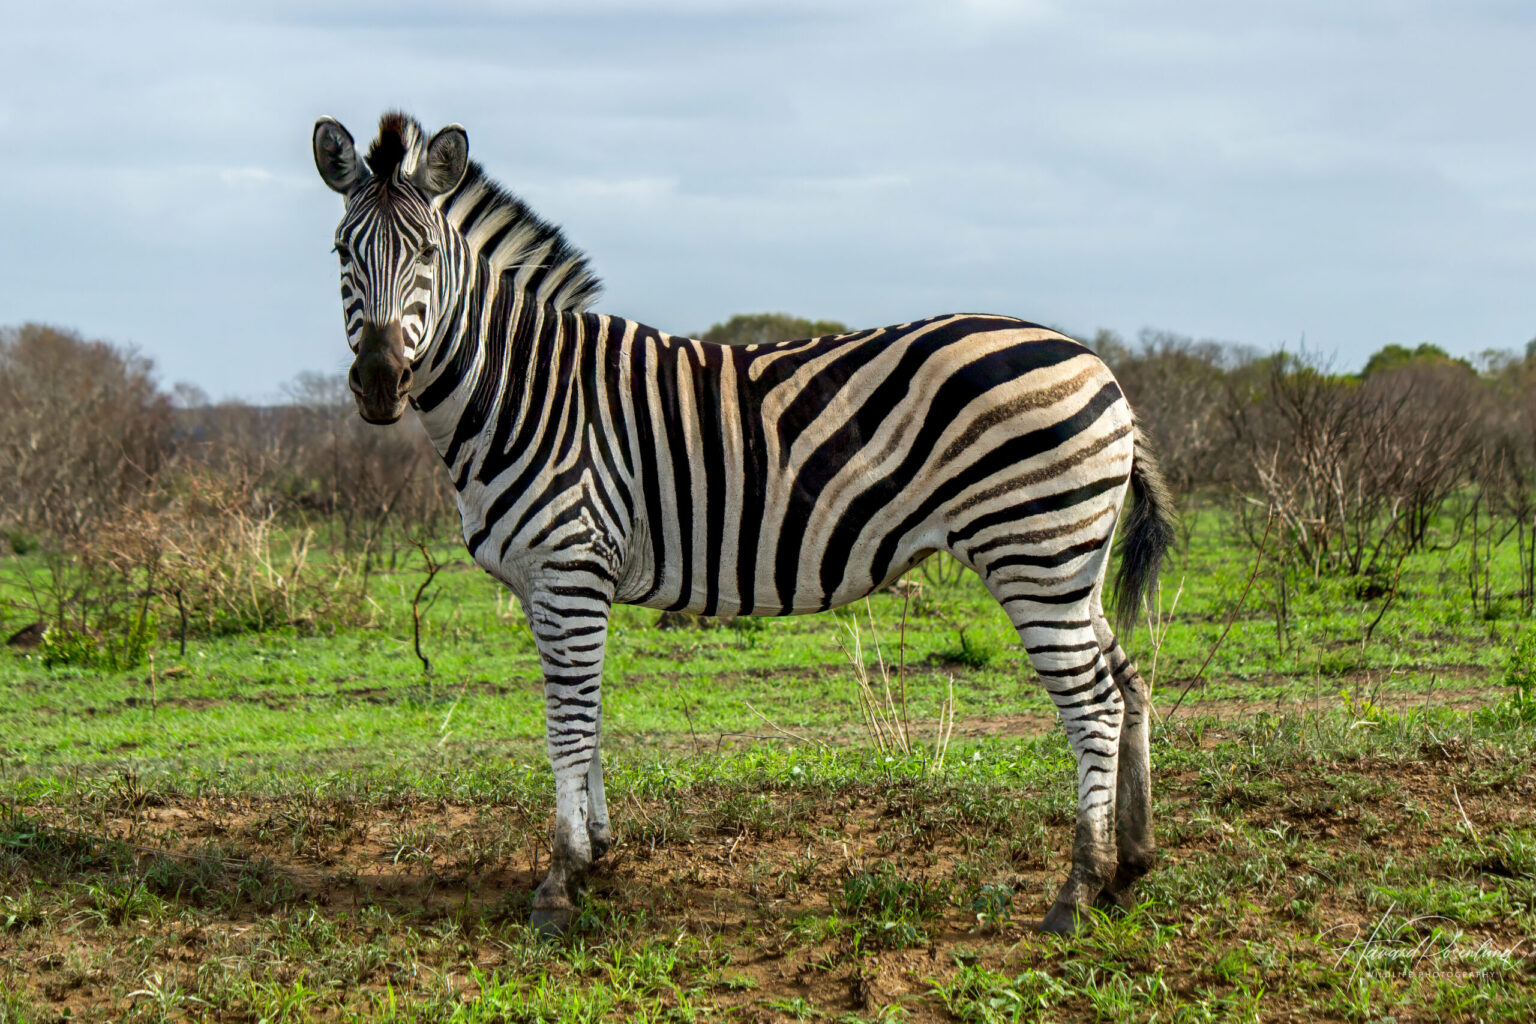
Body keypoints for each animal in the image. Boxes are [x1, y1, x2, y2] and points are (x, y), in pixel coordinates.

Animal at [312, 111, 1175, 936]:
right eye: (341, 251)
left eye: (427, 254)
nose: (380, 382)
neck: (526, 388)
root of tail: (1102, 372)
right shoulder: (554, 583)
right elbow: (588, 715)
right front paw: (597, 856)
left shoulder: (569, 568)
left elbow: (567, 724)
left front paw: (559, 884)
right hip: (1068, 564)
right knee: (1128, 684)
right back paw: (1130, 867)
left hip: (1033, 553)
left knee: (1093, 706)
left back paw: (1075, 893)